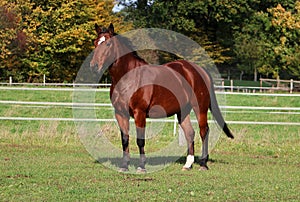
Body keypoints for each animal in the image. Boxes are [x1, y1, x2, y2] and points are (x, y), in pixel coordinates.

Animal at [90, 23, 233, 172]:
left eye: (108, 44)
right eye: (95, 42)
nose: (94, 67)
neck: (129, 78)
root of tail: (199, 70)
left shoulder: (139, 113)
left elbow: (140, 140)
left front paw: (141, 166)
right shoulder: (120, 113)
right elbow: (125, 139)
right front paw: (124, 166)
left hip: (200, 108)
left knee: (204, 131)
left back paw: (203, 164)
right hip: (183, 111)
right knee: (190, 133)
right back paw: (188, 164)